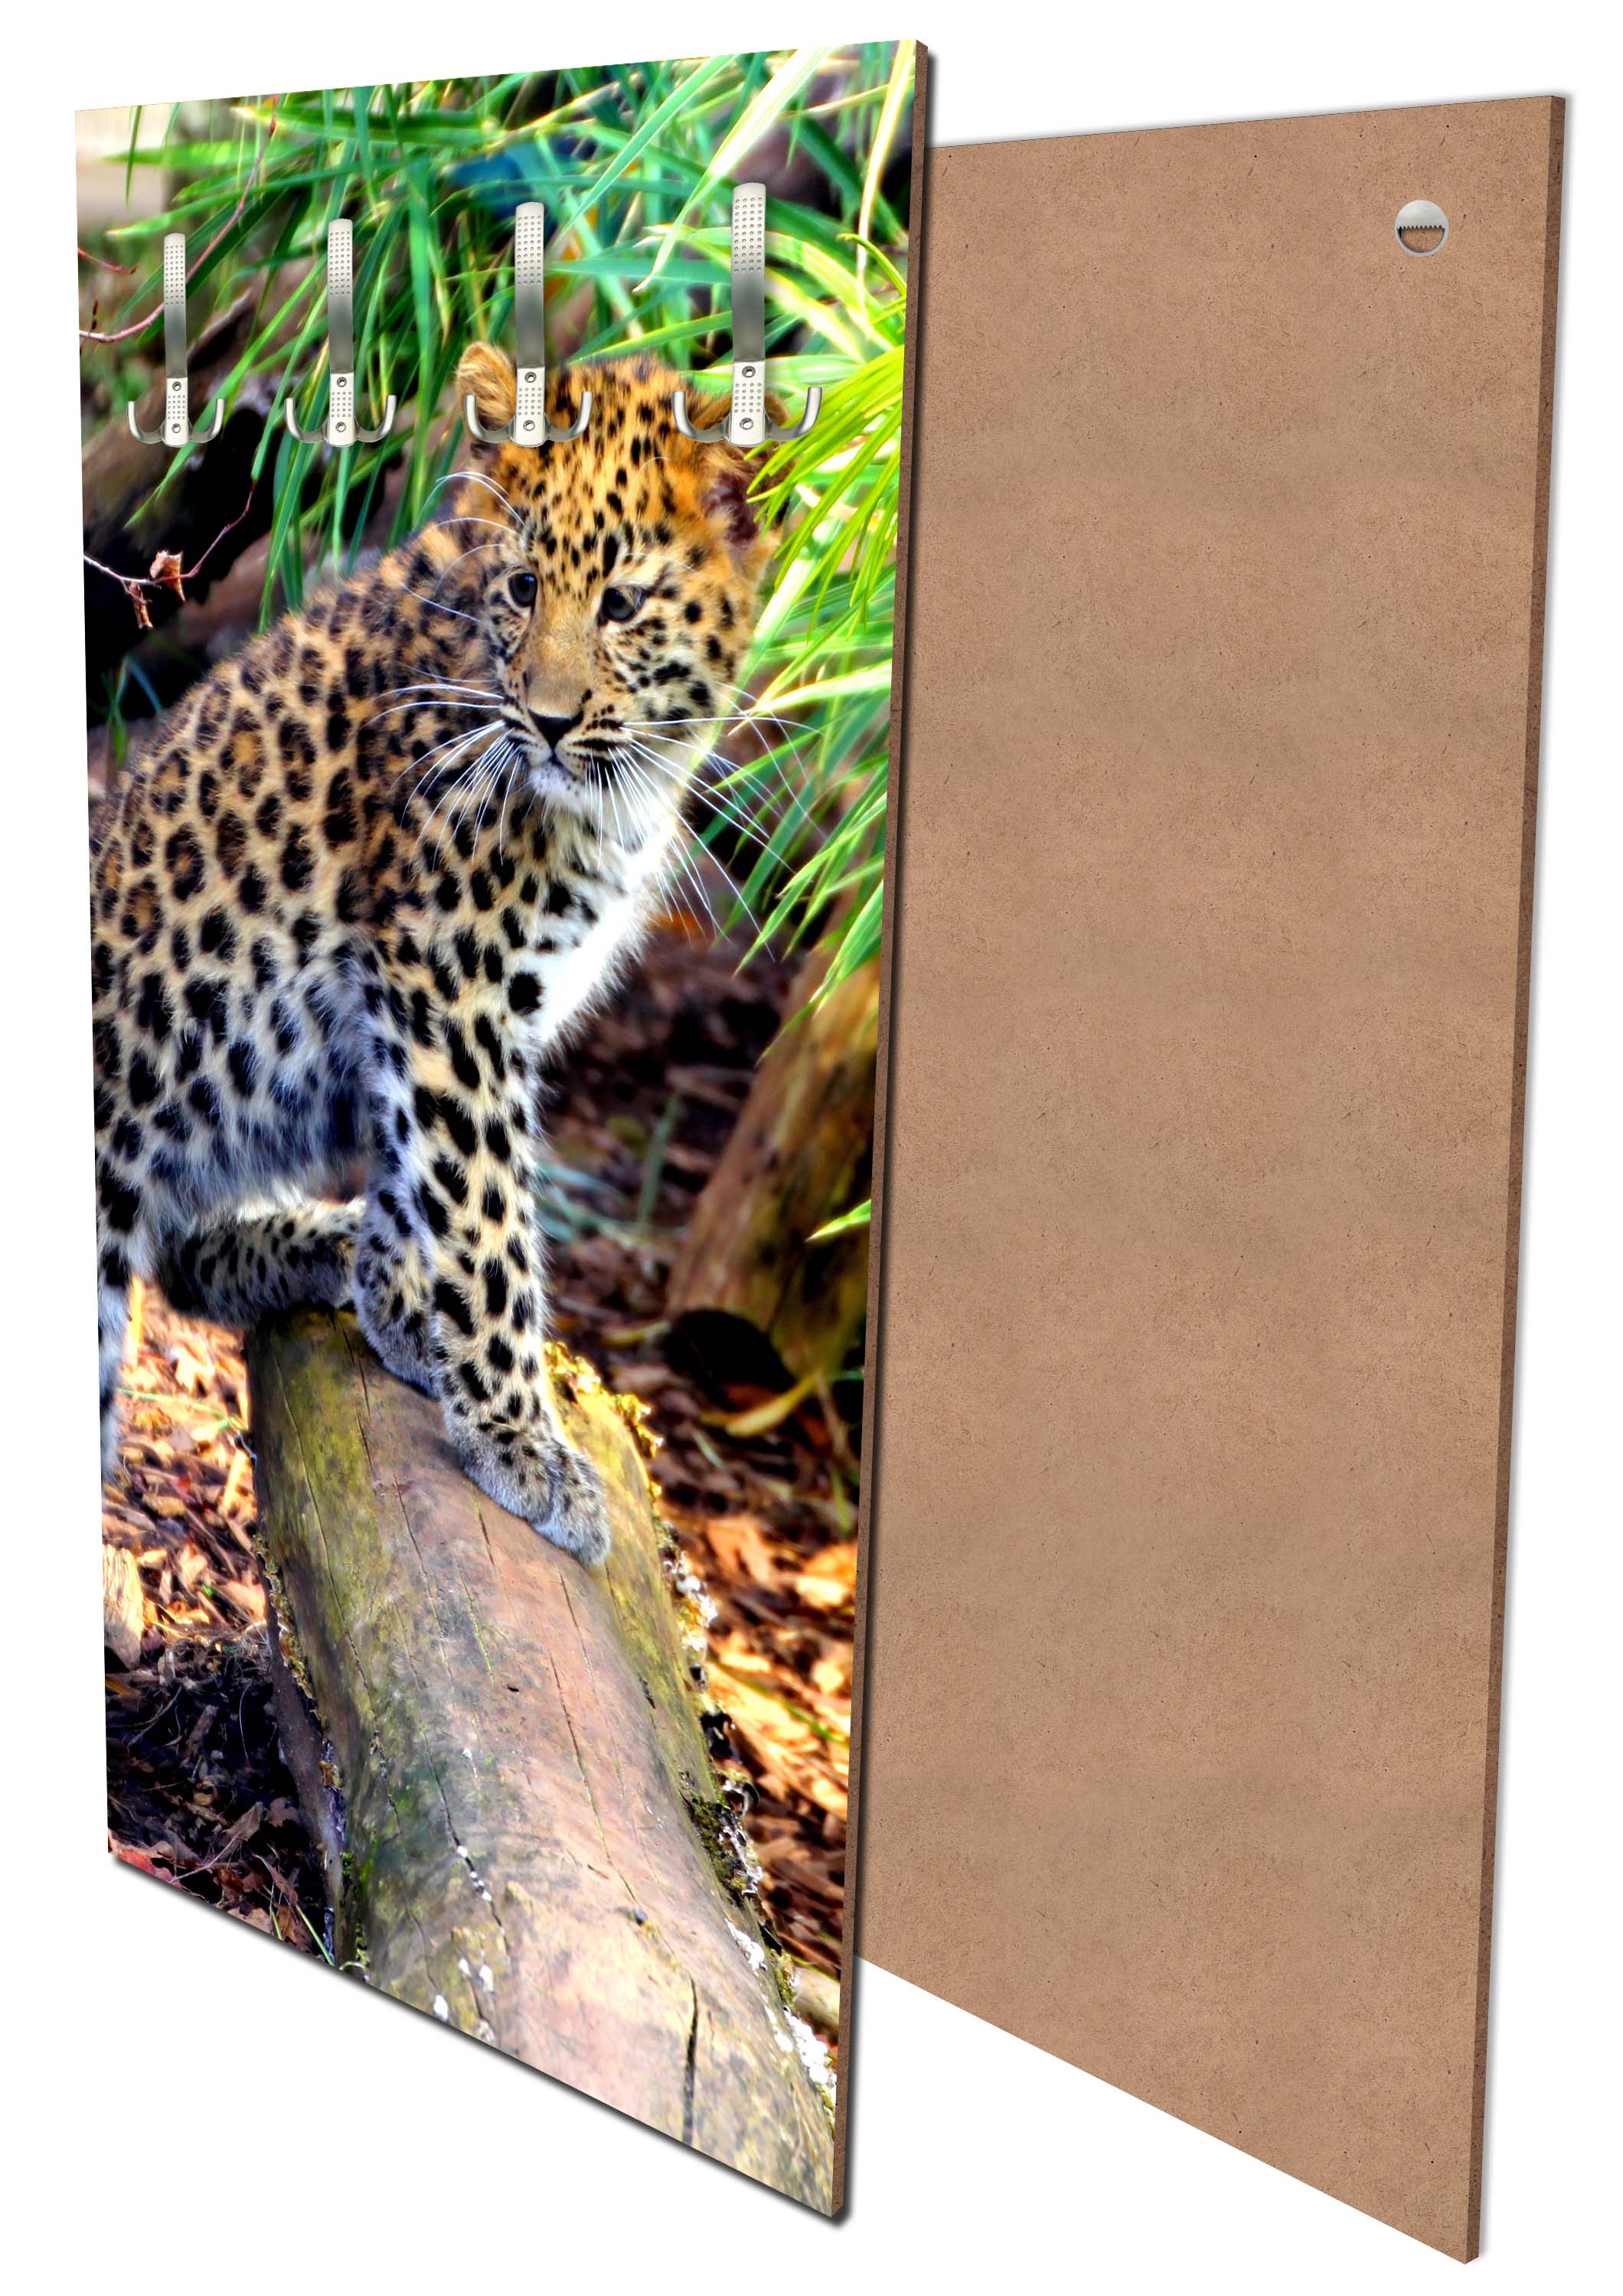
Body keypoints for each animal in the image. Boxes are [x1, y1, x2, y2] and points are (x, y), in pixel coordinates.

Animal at [90, 344, 781, 1566]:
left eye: (621, 604)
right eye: (523, 588)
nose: (547, 721)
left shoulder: (427, 1015)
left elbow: (419, 1174)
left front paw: (400, 1301)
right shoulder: (448, 985)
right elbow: (486, 1210)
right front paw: (519, 1438)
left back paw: (310, 1237)